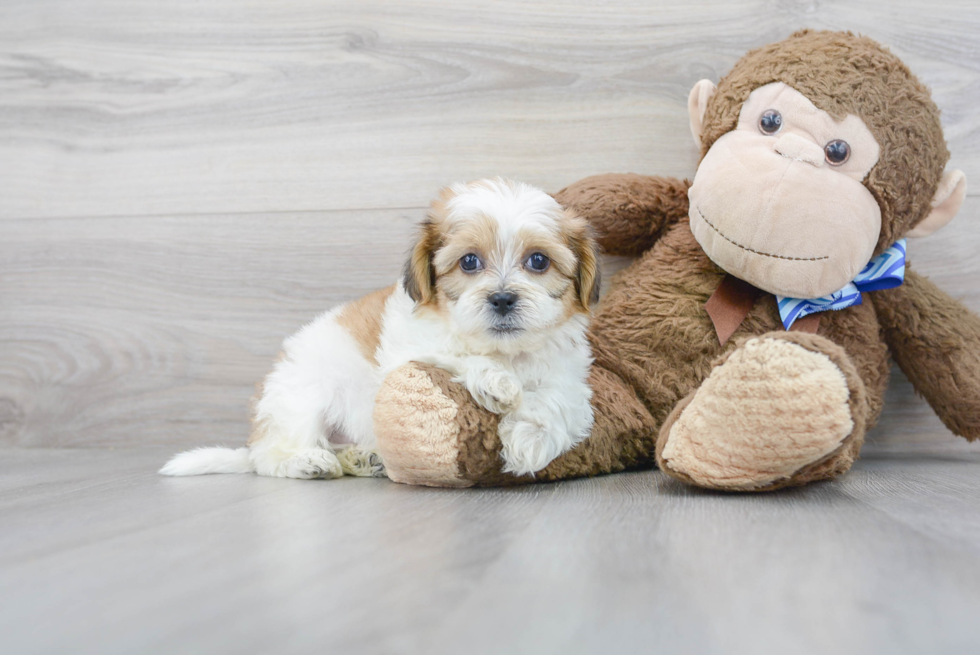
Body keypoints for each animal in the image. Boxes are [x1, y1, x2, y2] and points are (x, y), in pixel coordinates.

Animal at [161, 179, 596, 482]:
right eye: (469, 262)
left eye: (538, 261)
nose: (503, 299)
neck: (507, 351)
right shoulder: (410, 350)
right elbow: (456, 356)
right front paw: (498, 382)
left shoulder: (569, 373)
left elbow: (563, 402)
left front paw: (530, 441)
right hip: (301, 396)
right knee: (270, 455)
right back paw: (306, 461)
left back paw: (361, 457)